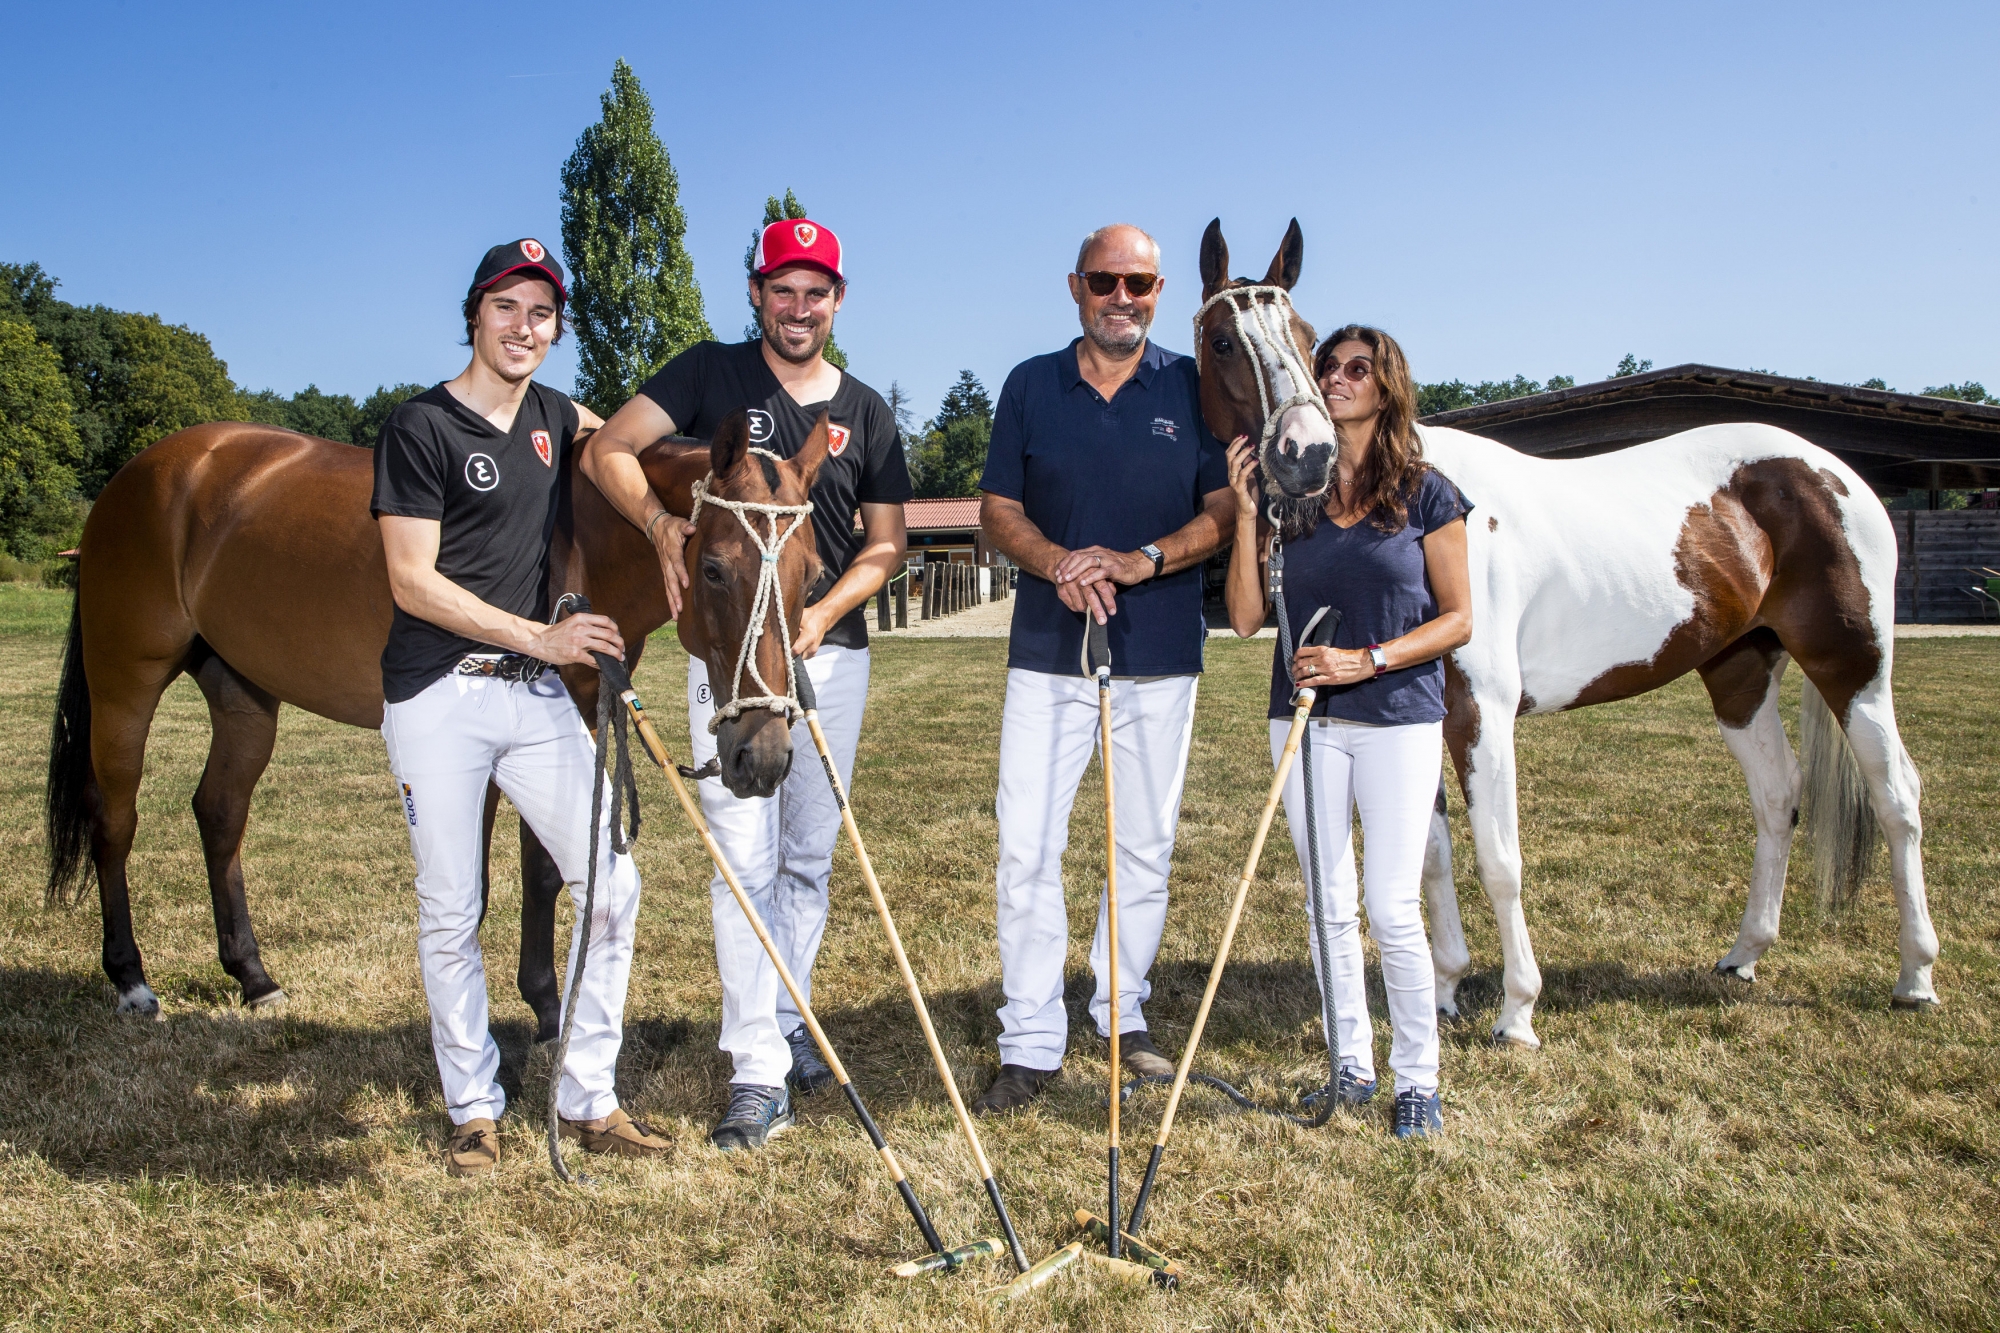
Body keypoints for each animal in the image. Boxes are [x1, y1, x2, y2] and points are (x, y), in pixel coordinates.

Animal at [47, 404, 828, 1016]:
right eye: (715, 569)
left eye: (813, 576)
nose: (763, 757)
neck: (578, 540)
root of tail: (136, 476)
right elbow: (485, 883)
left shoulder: (573, 715)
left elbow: (544, 868)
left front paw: (543, 1006)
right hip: (124, 686)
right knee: (115, 821)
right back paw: (130, 978)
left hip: (243, 696)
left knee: (218, 813)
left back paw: (252, 973)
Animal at [1184, 218, 1936, 1048]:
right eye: (1224, 339)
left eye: (1310, 336)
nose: (1306, 454)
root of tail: (1833, 472)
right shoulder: (1430, 717)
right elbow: (1433, 855)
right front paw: (1445, 989)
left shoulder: (1483, 714)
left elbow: (1499, 860)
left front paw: (1517, 1009)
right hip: (1739, 671)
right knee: (1777, 794)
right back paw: (1743, 955)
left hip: (1853, 664)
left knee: (1897, 795)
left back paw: (1916, 975)